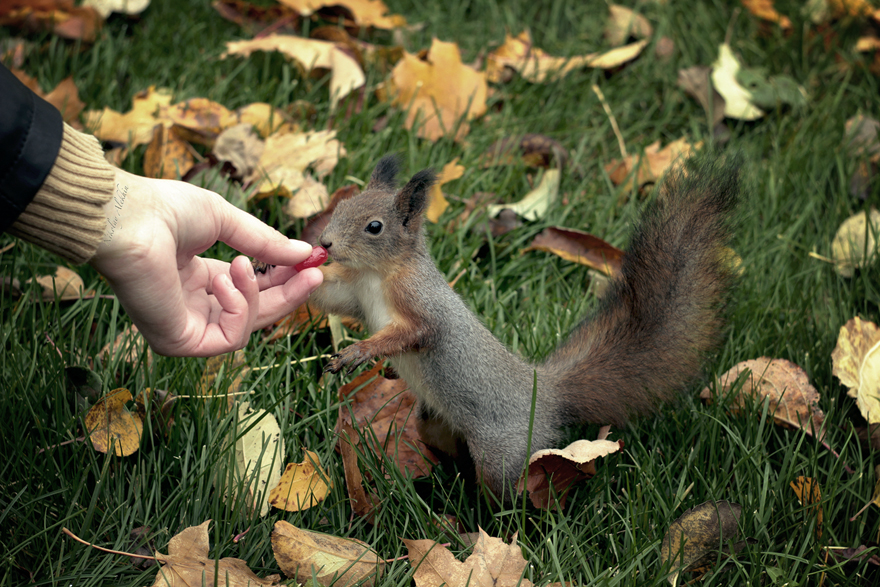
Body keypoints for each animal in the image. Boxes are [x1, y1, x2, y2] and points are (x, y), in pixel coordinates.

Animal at [308, 155, 736, 500]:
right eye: (341, 205)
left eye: (374, 227)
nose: (325, 243)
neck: (376, 274)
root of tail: (547, 395)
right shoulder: (354, 295)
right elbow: (330, 297)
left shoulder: (422, 304)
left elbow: (416, 333)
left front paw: (357, 352)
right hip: (436, 421)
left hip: (503, 450)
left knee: (508, 491)